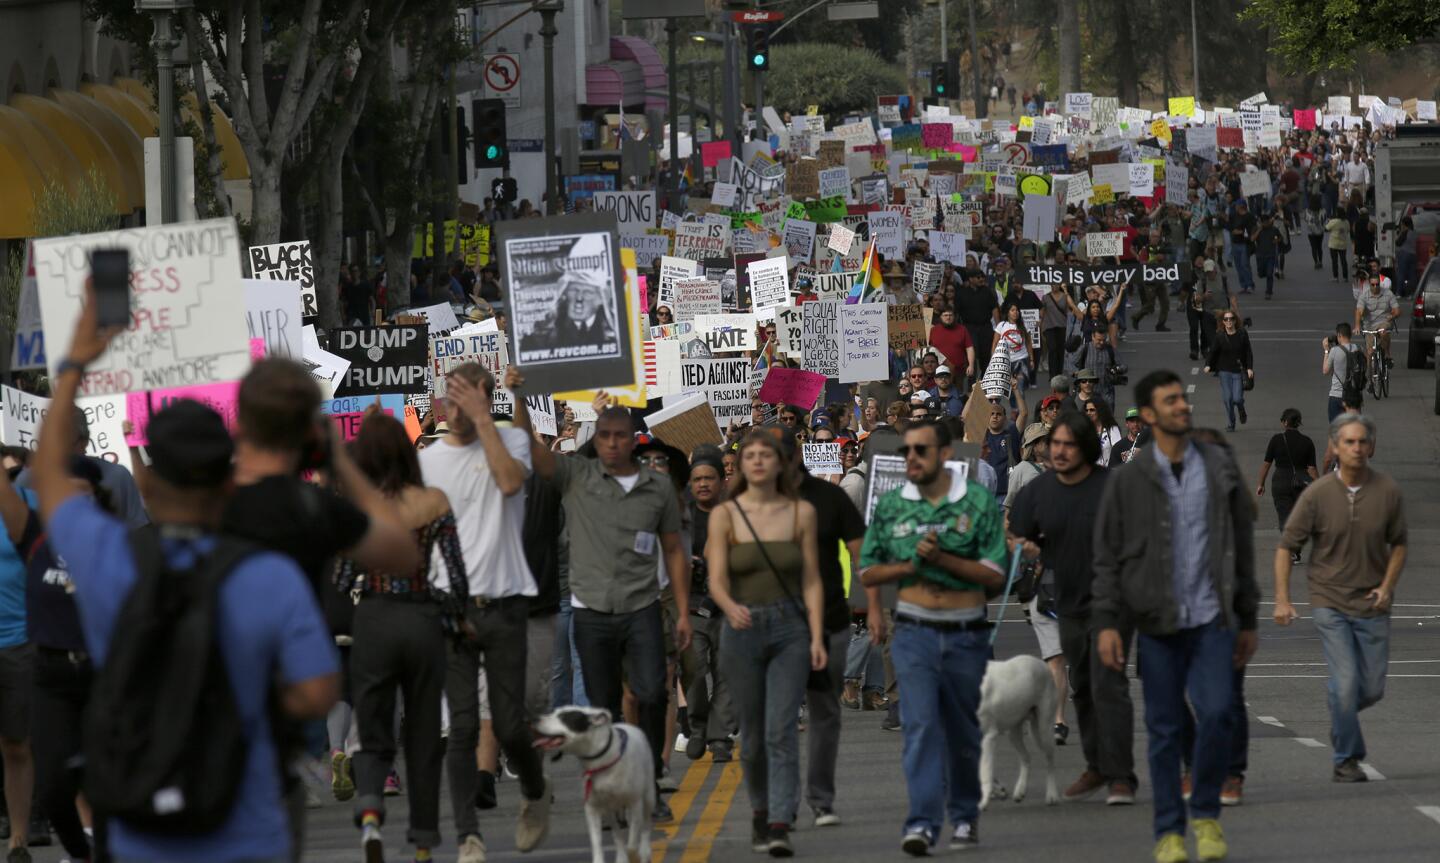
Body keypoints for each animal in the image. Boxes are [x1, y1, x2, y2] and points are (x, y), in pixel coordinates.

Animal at [535, 708, 659, 863]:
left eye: (564, 717)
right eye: (553, 711)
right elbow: (597, 841)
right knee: (616, 832)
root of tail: (629, 725)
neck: (602, 762)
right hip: (608, 809)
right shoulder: (592, 807)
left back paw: (645, 851)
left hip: (648, 796)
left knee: (646, 824)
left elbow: (632, 842)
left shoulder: (635, 803)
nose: (535, 719)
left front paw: (636, 853)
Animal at [973, 654, 1065, 812]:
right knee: (1026, 758)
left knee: (1050, 759)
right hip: (1014, 732)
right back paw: (1020, 791)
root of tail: (1041, 663)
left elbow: (984, 771)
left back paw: (1052, 795)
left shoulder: (987, 737)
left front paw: (983, 802)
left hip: (1043, 729)